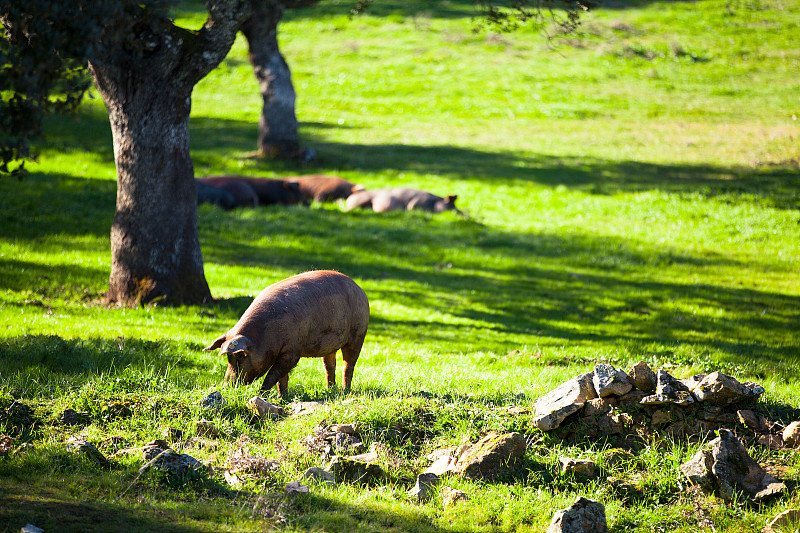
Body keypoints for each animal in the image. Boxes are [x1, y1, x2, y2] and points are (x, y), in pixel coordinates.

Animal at [205, 272, 370, 396]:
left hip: (358, 334)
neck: (263, 335)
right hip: (330, 345)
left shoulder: (292, 351)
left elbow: (273, 374)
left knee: (348, 365)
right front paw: (282, 397)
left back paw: (345, 391)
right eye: (229, 358)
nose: (227, 386)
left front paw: (261, 395)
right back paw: (330, 390)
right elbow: (282, 378)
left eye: (241, 356)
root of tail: (360, 289)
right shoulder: (282, 352)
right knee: (329, 366)